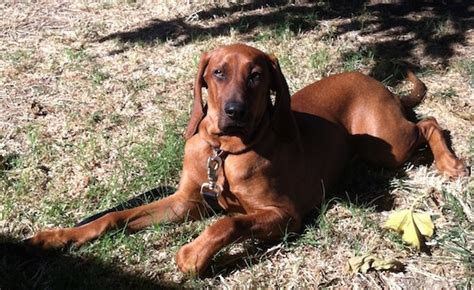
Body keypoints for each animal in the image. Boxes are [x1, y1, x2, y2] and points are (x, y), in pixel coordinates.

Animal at [28, 44, 466, 276]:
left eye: (256, 76)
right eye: (218, 73)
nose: (235, 111)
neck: (223, 152)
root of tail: (381, 85)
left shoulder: (285, 214)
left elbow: (229, 222)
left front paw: (194, 253)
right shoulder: (184, 203)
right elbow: (114, 217)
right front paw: (57, 236)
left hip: (386, 145)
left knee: (429, 123)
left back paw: (450, 163)